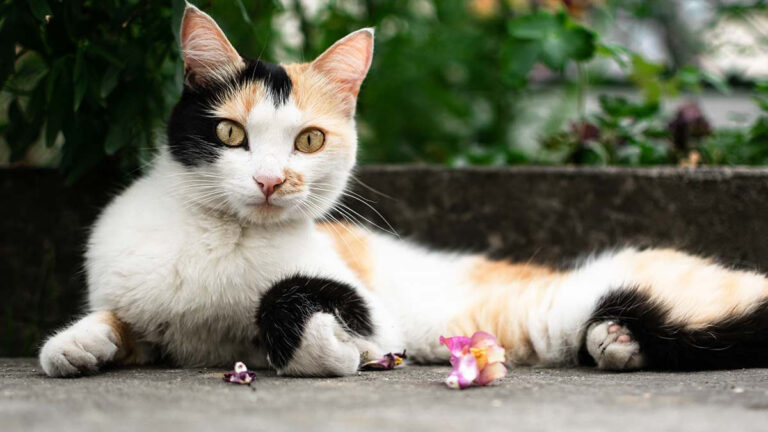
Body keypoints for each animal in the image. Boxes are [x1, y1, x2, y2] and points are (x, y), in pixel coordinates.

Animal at [37, 3, 768, 376]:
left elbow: (285, 298)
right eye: (229, 133)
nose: (272, 180)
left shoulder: (365, 306)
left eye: (309, 140)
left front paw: (327, 351)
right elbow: (123, 321)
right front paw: (78, 344)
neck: (223, 238)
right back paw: (616, 344)